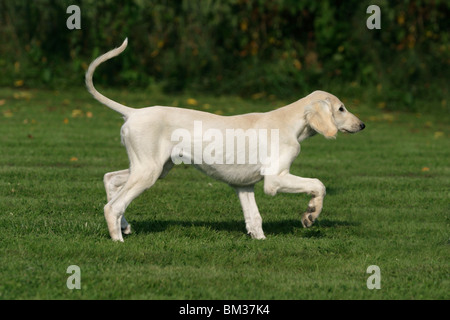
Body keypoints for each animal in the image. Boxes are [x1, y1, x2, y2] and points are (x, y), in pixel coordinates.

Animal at [85, 38, 366, 241]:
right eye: (341, 108)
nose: (362, 125)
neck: (288, 122)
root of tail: (133, 112)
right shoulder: (275, 180)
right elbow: (319, 185)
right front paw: (310, 214)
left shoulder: (245, 186)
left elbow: (255, 220)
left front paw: (260, 240)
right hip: (149, 171)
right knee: (113, 206)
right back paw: (118, 239)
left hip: (153, 168)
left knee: (110, 181)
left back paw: (125, 226)